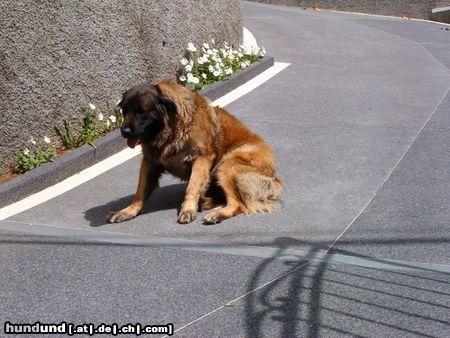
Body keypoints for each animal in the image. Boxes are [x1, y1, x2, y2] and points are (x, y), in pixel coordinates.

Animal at [107, 80, 282, 224]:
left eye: (141, 111)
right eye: (125, 111)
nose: (124, 131)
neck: (171, 130)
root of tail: (275, 177)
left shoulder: (201, 158)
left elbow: (192, 186)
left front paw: (188, 209)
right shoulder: (150, 161)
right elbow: (140, 191)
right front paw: (128, 211)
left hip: (226, 165)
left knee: (238, 204)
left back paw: (216, 213)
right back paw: (207, 202)